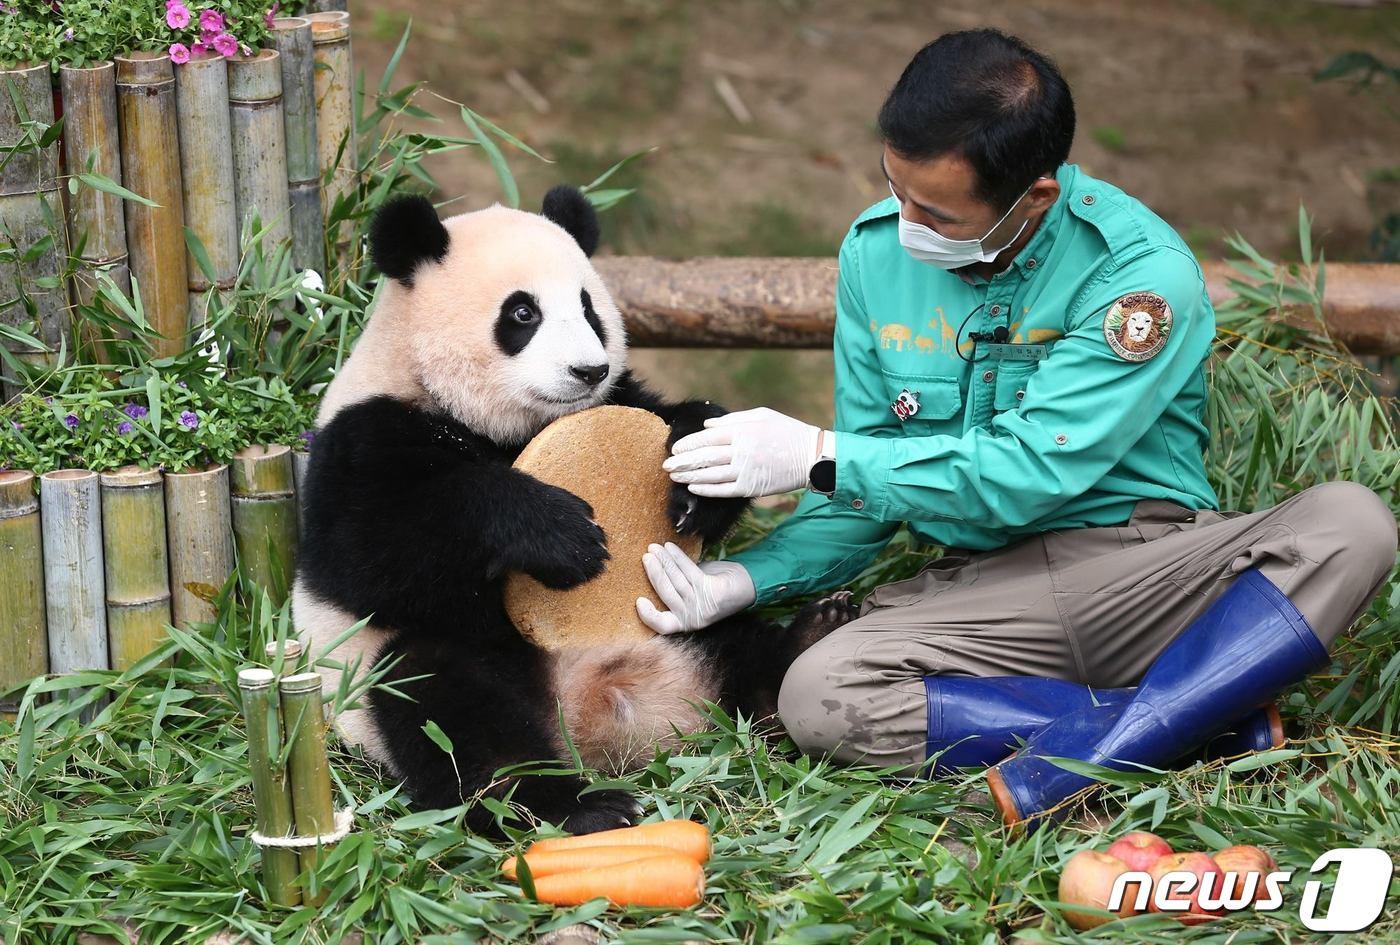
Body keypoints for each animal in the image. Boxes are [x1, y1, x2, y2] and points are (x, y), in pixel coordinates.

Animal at [295, 186, 856, 834]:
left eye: (590, 310)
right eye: (523, 314)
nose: (588, 370)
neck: (497, 424)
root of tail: (598, 716)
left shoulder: (621, 396)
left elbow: (679, 421)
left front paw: (700, 474)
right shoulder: (365, 436)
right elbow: (372, 550)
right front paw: (561, 537)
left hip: (688, 632)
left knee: (742, 650)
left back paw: (810, 638)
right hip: (381, 676)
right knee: (445, 706)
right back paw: (571, 804)